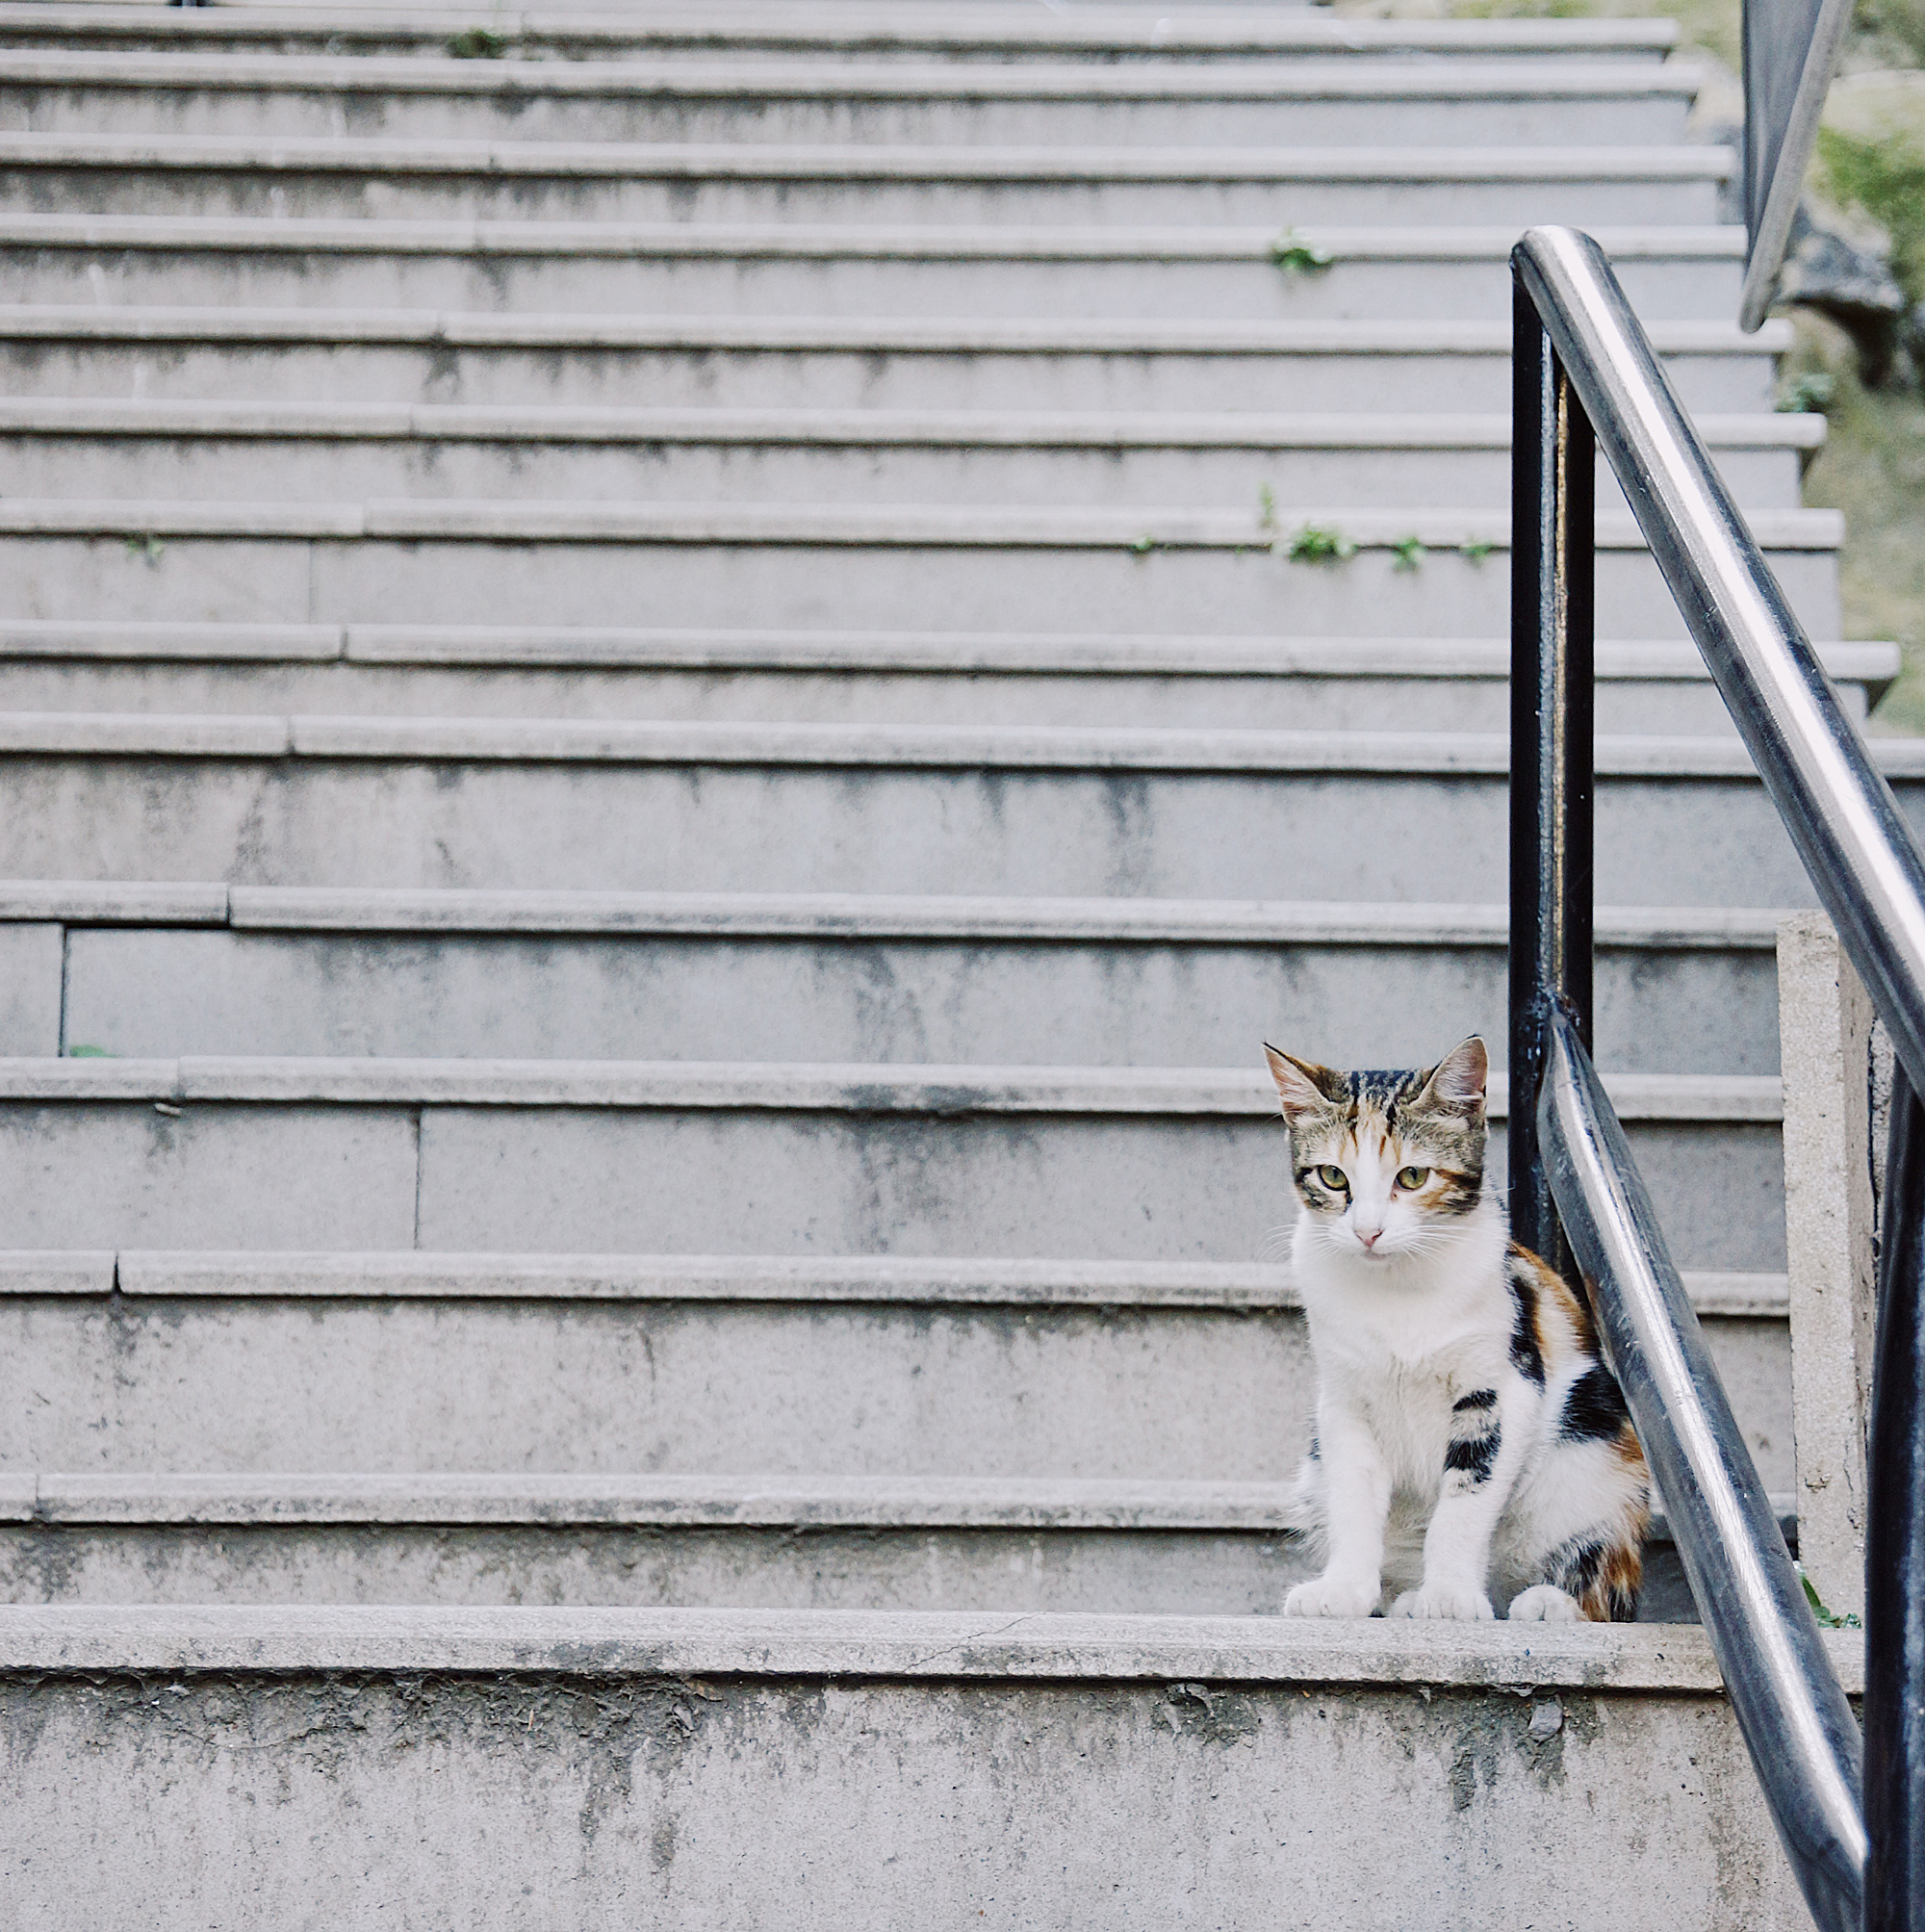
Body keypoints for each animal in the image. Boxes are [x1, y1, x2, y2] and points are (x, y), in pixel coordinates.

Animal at [1258, 1035, 1653, 1622]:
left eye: (1412, 1177)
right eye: (1333, 1176)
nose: (1368, 1232)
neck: (1396, 1290)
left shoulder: (1503, 1388)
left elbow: (1465, 1501)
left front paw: (1448, 1597)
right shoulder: (1344, 1400)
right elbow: (1353, 1496)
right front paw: (1344, 1590)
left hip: (1593, 1445)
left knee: (1604, 1580)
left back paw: (1550, 1603)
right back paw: (1403, 1598)